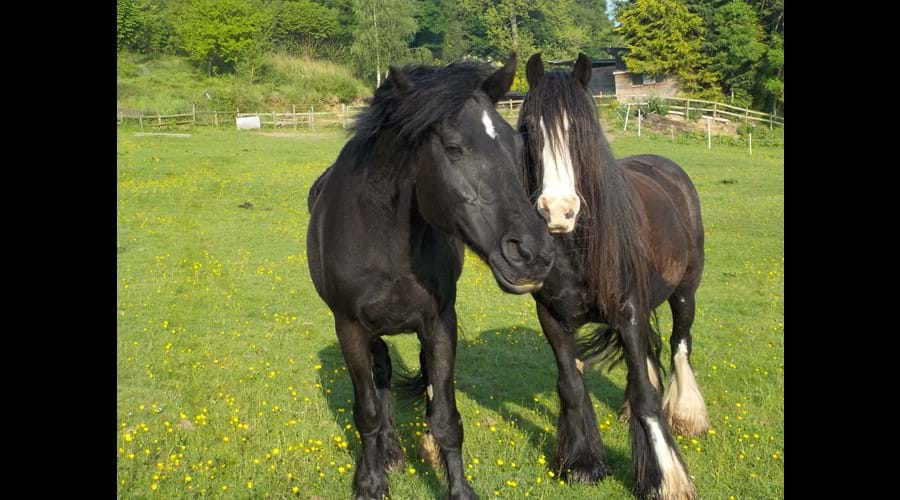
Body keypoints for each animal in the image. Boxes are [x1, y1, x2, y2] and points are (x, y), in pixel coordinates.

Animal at [306, 55, 552, 500]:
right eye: (453, 148)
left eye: (516, 145)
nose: (533, 254)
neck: (387, 242)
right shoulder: (349, 327)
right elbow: (367, 412)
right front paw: (370, 482)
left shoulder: (440, 322)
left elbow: (446, 418)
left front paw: (458, 486)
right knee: (381, 373)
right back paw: (388, 452)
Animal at [516, 52, 712, 498]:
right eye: (528, 127)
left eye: (582, 127)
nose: (558, 211)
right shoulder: (553, 318)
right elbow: (571, 386)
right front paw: (581, 463)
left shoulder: (629, 312)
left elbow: (645, 396)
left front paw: (666, 478)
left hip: (685, 293)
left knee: (679, 345)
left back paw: (687, 415)